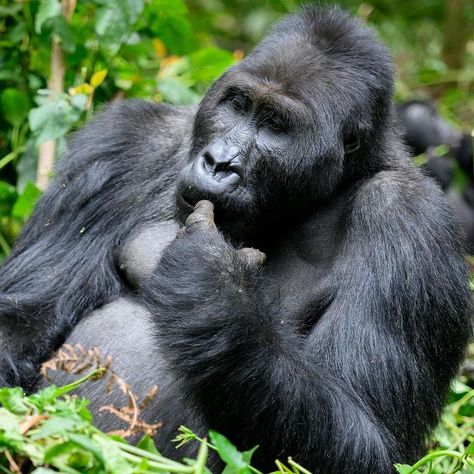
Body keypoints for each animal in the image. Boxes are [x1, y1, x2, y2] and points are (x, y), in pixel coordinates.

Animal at [0, 4, 470, 474]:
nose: (218, 162)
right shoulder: (123, 142)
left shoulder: (410, 217)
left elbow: (370, 440)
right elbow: (24, 317)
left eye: (276, 125)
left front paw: (212, 280)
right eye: (238, 105)